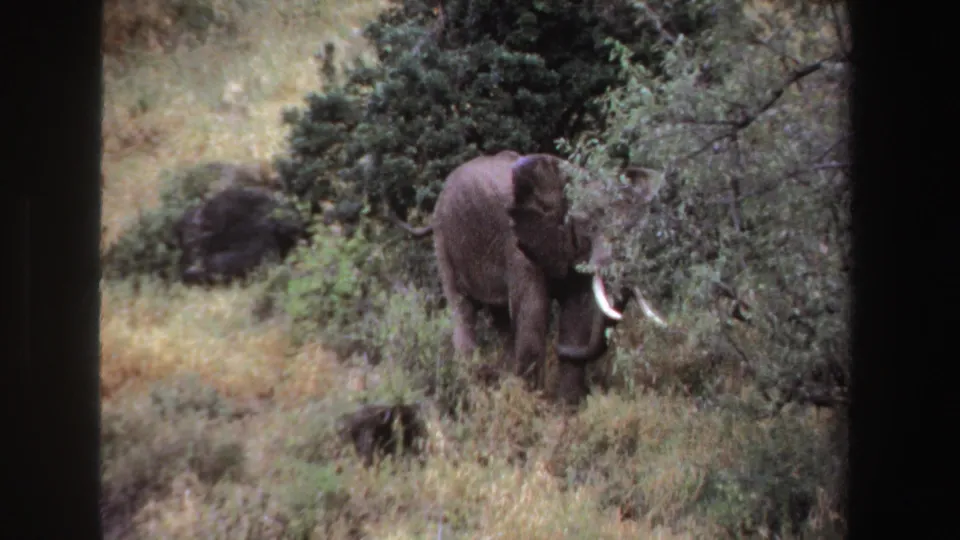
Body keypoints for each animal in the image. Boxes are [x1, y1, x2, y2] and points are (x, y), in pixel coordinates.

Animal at [389, 150, 667, 404]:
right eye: (588, 225)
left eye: (637, 228)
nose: (560, 351)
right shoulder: (518, 245)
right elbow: (533, 314)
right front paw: (533, 405)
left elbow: (577, 316)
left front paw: (567, 409)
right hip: (445, 238)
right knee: (462, 309)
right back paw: (472, 387)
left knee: (502, 319)